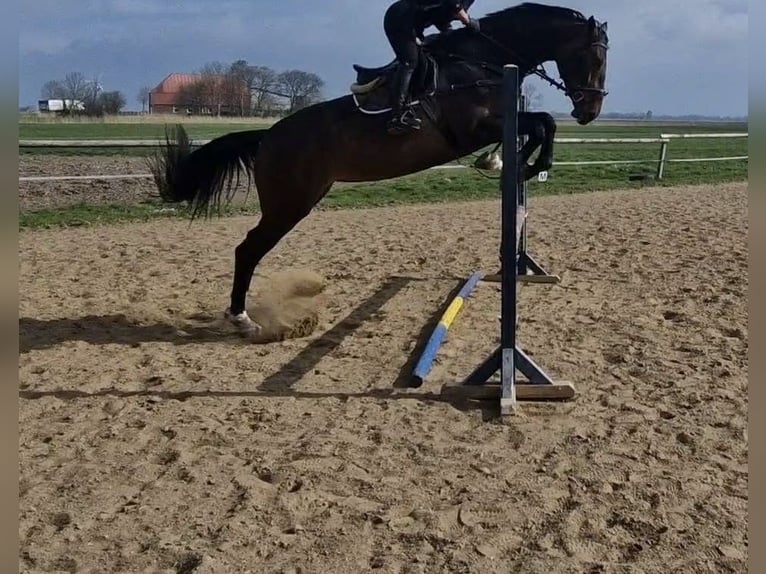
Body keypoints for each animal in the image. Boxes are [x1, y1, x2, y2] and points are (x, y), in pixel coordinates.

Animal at [148, 2, 609, 337]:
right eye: (594, 56)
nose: (588, 112)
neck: (482, 62)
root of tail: (268, 136)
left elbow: (542, 123)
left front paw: (512, 164)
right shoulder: (473, 128)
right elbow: (542, 122)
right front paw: (519, 165)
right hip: (289, 204)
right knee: (248, 250)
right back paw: (242, 320)